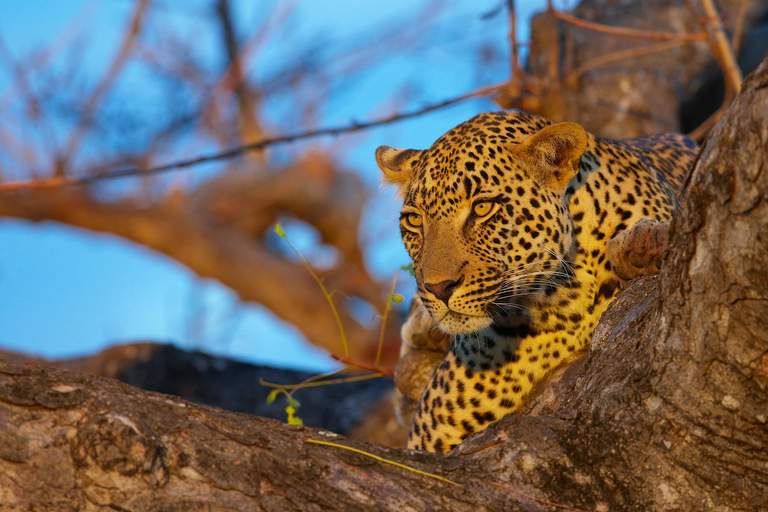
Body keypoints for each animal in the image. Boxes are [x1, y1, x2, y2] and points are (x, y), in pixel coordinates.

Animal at [376, 110, 700, 450]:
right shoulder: (430, 437)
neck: (560, 296)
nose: (438, 288)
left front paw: (642, 247)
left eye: (482, 208)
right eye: (414, 220)